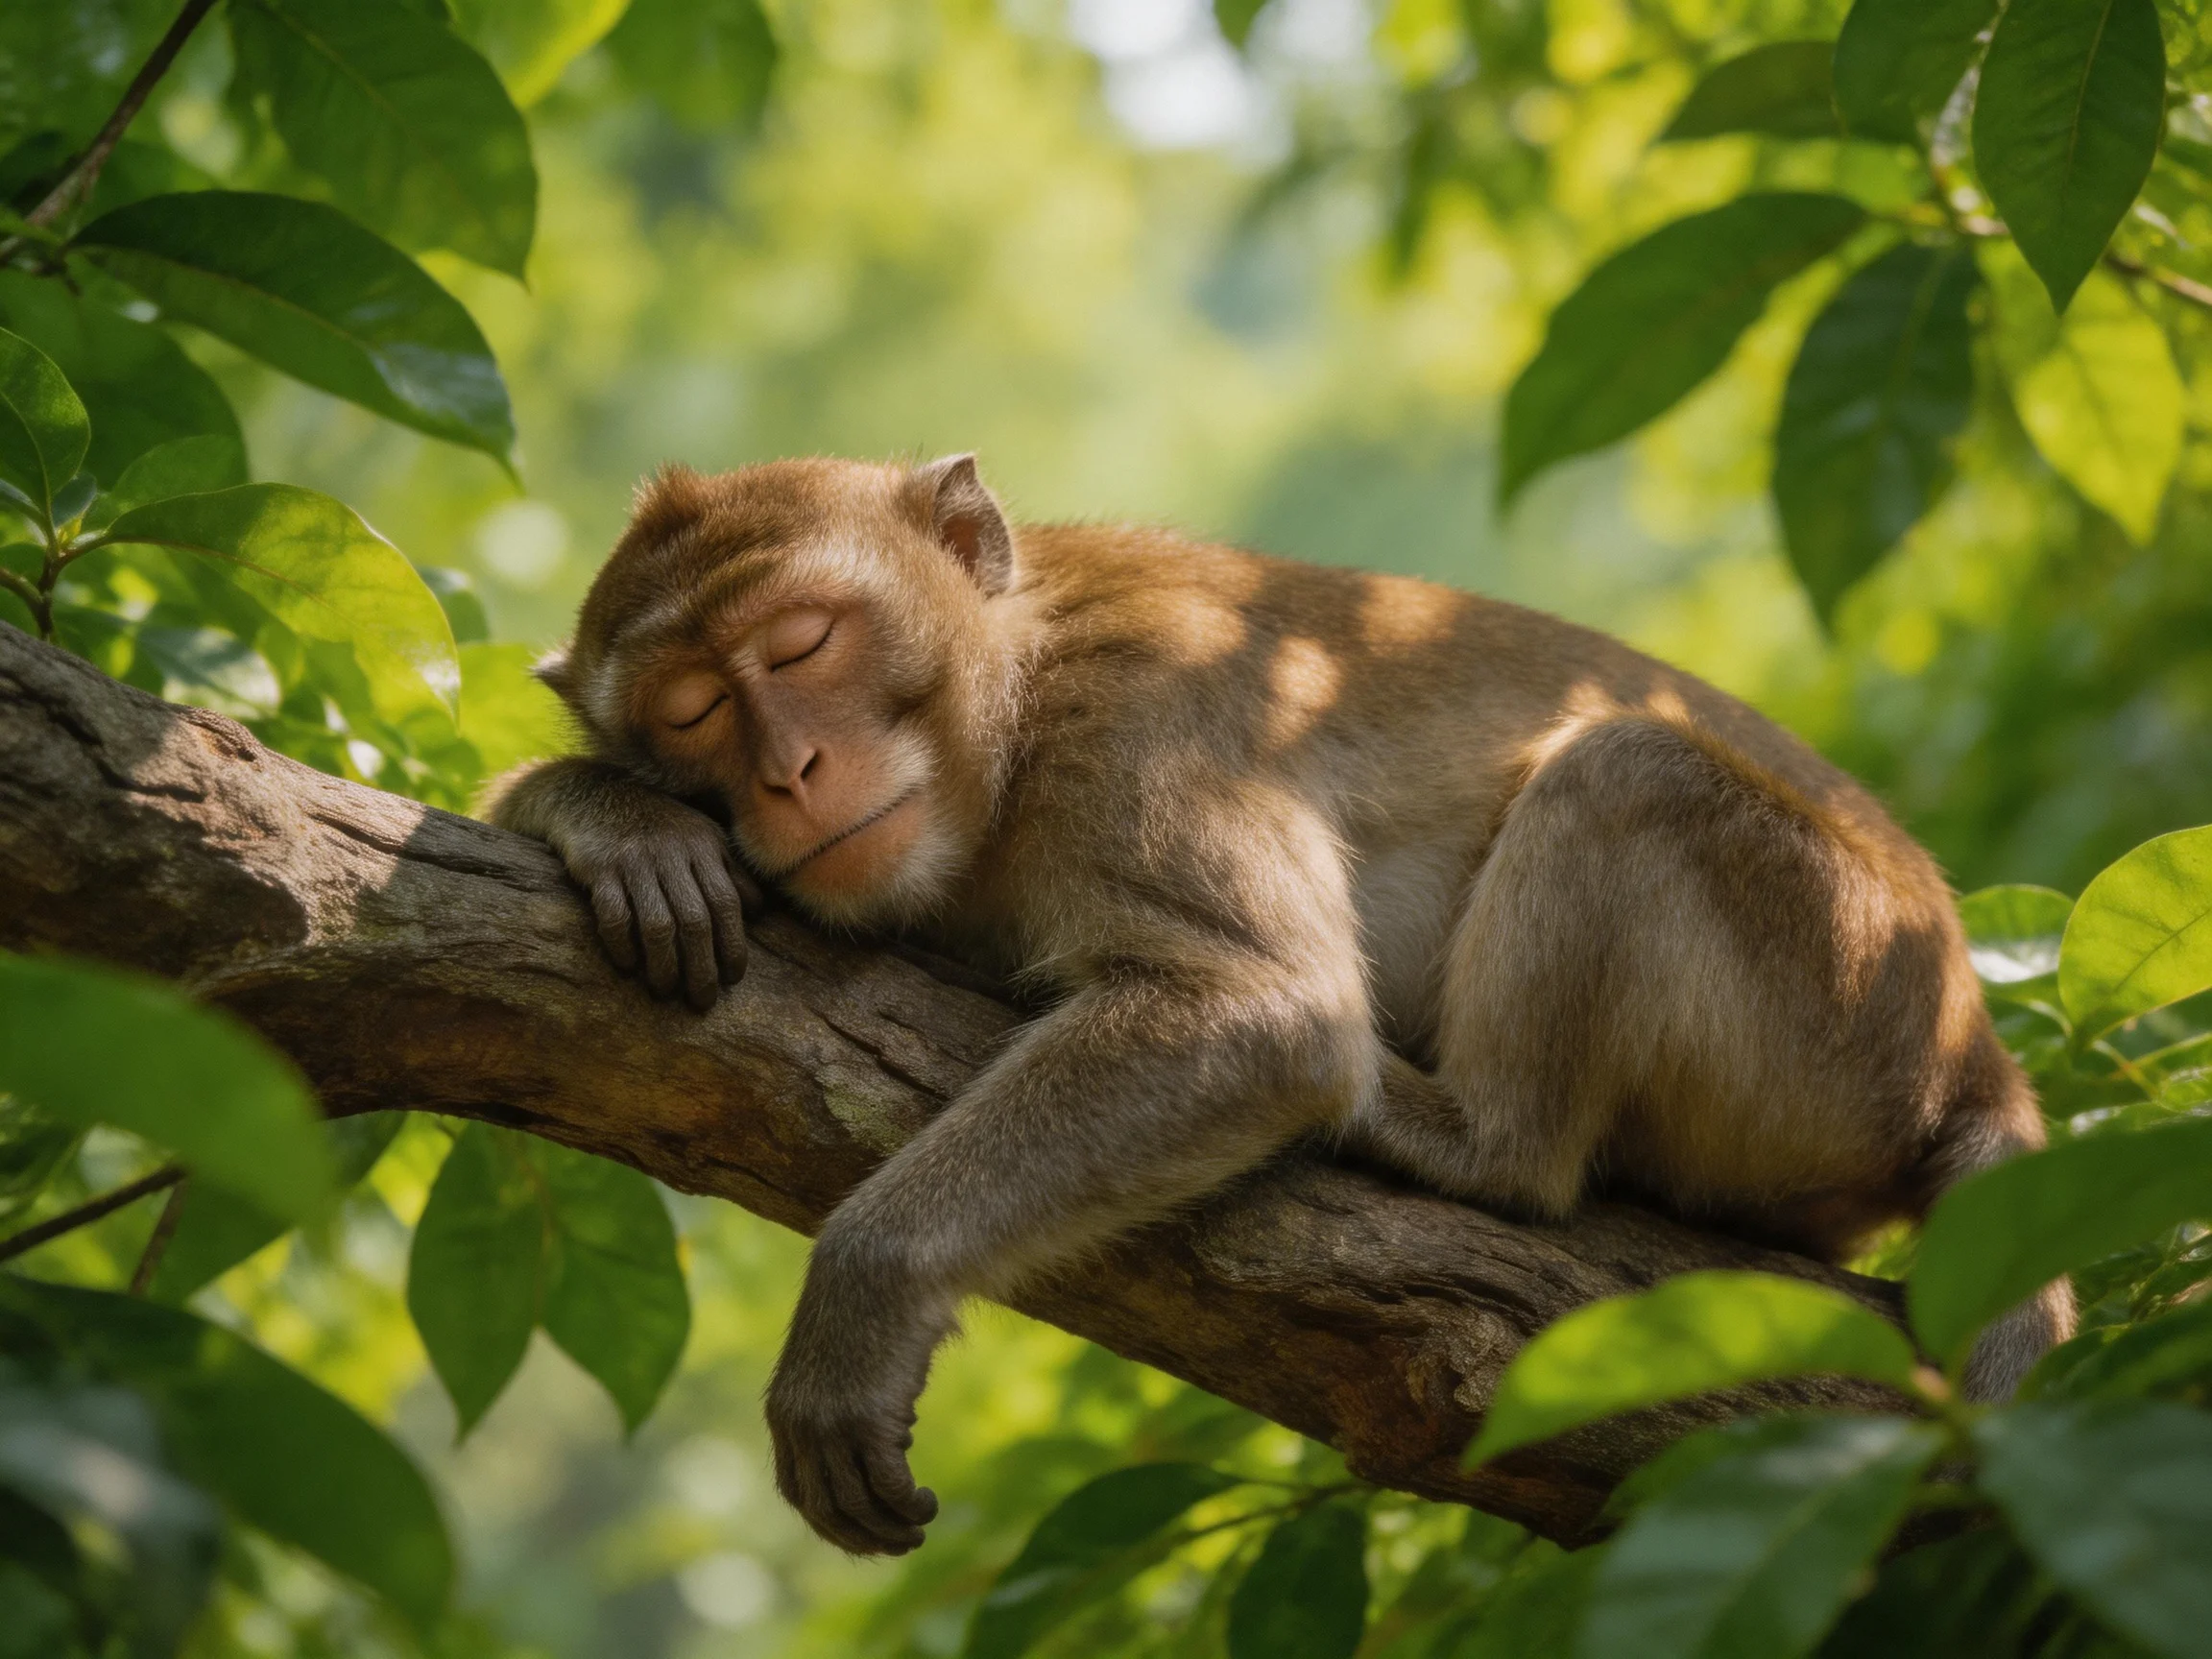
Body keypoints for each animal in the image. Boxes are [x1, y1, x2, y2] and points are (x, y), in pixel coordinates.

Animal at [486, 453, 2073, 1556]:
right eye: (691, 711)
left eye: (804, 644)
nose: (786, 775)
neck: (1024, 677)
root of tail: (1974, 1054)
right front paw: (608, 816)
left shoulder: (1145, 721)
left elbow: (1263, 1014)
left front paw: (868, 1291)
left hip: (1828, 993)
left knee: (1628, 773)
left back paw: (1471, 1138)